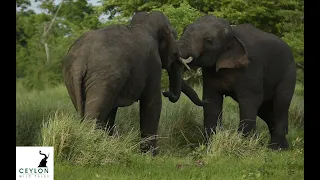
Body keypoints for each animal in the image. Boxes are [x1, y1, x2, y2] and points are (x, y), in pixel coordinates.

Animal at [62, 11, 204, 155]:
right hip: (103, 77)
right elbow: (153, 103)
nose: (167, 93)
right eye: (174, 36)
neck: (144, 23)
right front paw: (151, 155)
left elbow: (112, 111)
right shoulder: (153, 64)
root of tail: (81, 59)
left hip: (73, 78)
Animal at [166, 15, 296, 150]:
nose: (165, 93)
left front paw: (245, 145)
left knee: (281, 103)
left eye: (208, 40)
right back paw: (284, 147)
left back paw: (275, 148)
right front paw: (210, 146)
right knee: (266, 111)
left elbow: (250, 101)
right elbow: (212, 101)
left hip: (289, 73)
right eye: (185, 29)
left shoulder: (251, 69)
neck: (233, 34)